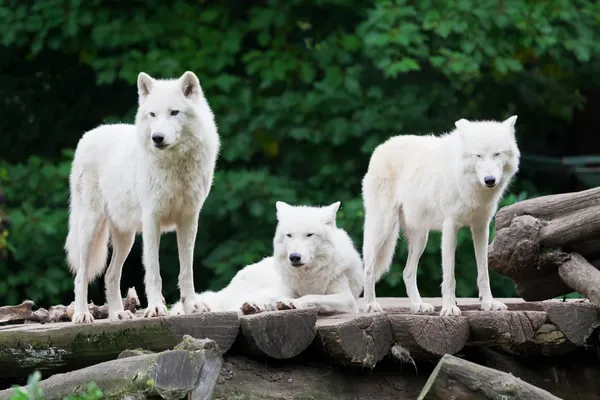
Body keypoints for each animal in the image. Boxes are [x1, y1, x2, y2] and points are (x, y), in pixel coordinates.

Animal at [65, 70, 220, 324]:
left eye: (174, 112)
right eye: (153, 114)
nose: (157, 137)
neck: (175, 165)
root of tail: (88, 135)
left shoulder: (189, 220)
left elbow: (187, 271)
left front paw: (192, 306)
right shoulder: (152, 220)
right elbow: (154, 271)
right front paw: (156, 308)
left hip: (125, 237)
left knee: (110, 275)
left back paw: (118, 314)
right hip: (90, 228)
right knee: (81, 276)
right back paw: (82, 314)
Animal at [171, 202, 364, 314]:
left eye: (309, 235)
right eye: (289, 235)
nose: (294, 257)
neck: (307, 275)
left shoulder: (346, 299)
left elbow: (312, 297)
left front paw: (291, 304)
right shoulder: (290, 289)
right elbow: (306, 296)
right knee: (237, 304)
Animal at [360, 115, 520, 316]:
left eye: (497, 154)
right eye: (478, 155)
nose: (490, 180)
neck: (471, 186)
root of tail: (381, 147)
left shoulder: (481, 227)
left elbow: (484, 273)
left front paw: (488, 303)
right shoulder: (450, 226)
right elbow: (450, 276)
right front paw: (450, 308)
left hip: (421, 238)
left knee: (407, 272)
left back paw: (418, 306)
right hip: (384, 227)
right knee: (369, 268)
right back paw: (370, 305)